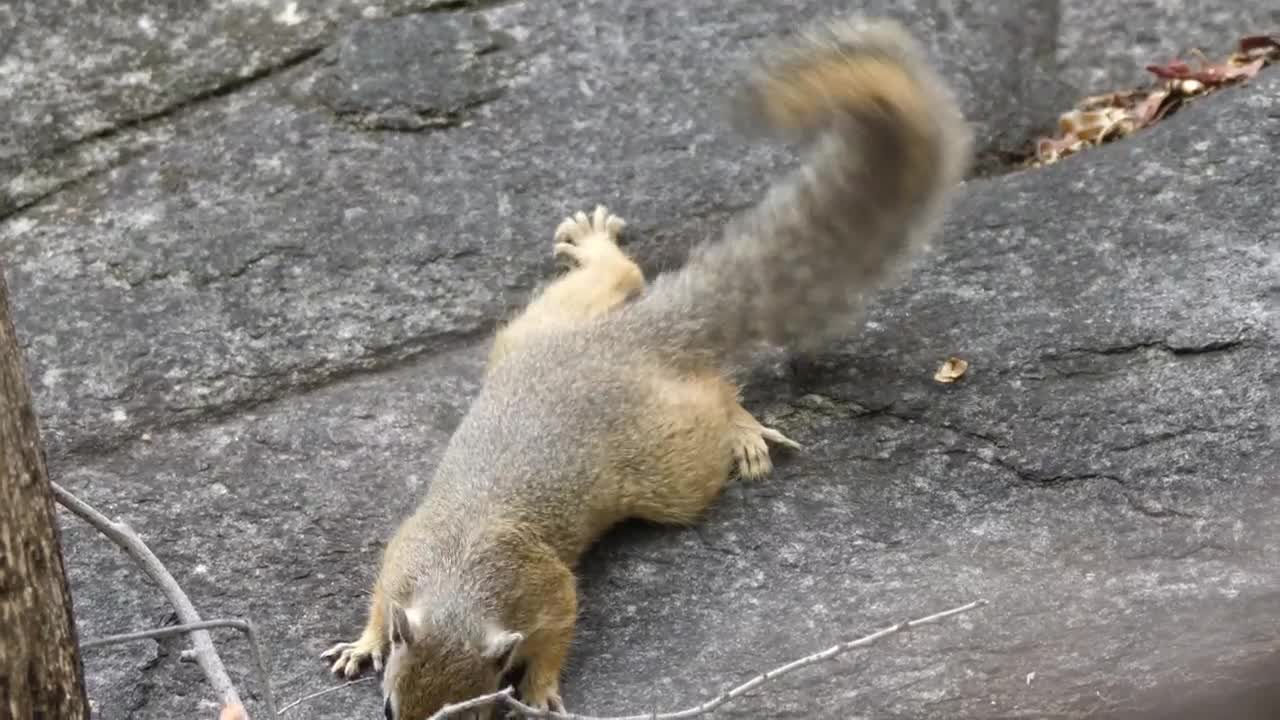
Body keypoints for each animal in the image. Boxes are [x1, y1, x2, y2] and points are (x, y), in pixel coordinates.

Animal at [321, 14, 972, 720]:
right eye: (390, 708)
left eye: (472, 714)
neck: (460, 574)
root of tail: (631, 339)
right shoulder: (403, 557)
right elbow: (379, 601)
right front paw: (362, 644)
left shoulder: (546, 589)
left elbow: (559, 631)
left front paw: (542, 690)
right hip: (539, 327)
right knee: (615, 278)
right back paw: (595, 246)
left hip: (667, 465)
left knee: (709, 392)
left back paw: (741, 428)